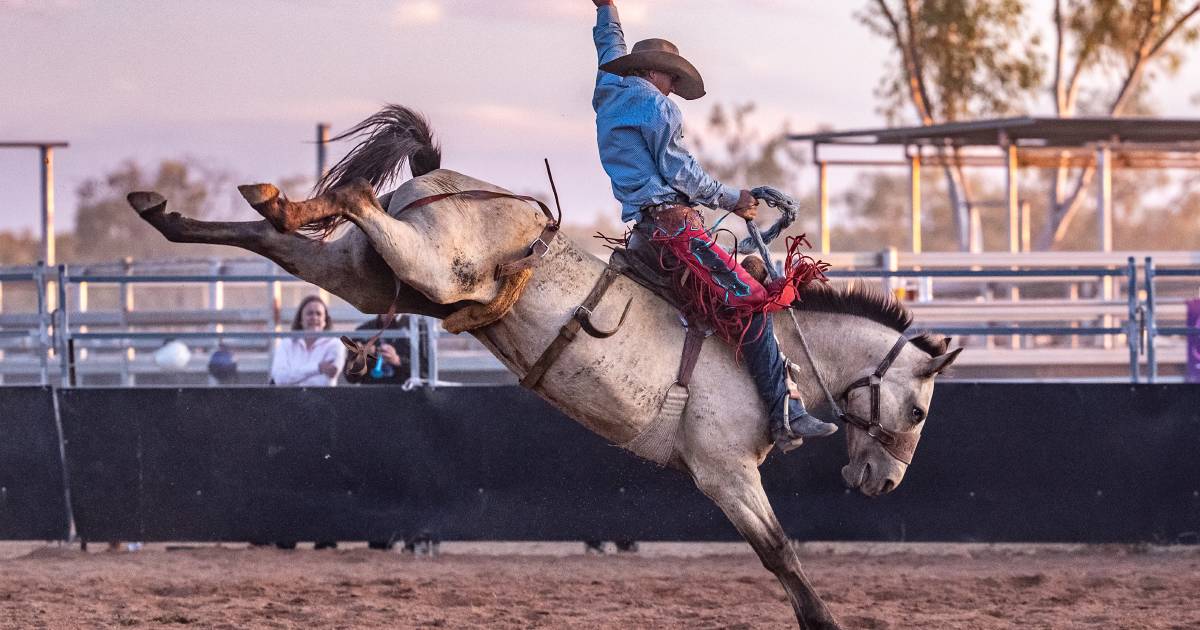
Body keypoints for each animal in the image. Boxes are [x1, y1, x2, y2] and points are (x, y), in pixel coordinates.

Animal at [126, 104, 960, 628]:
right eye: (919, 410)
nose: (884, 484)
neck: (777, 354)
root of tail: (442, 177)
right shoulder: (723, 471)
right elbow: (780, 553)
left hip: (376, 277)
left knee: (279, 236)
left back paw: (193, 208)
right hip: (430, 266)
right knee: (356, 192)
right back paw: (263, 198)